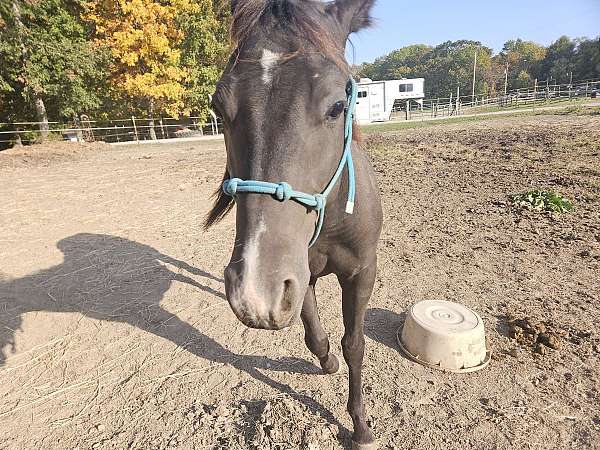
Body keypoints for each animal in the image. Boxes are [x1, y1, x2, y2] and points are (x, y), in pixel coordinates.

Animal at [205, 1, 384, 448]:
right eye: (218, 108)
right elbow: (314, 333)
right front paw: (327, 361)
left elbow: (355, 343)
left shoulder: (361, 271)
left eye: (338, 106)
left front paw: (360, 426)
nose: (255, 293)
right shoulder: (299, 274)